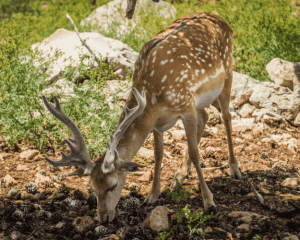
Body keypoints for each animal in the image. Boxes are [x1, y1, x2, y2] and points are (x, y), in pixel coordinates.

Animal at [42, 11, 241, 223]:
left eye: (113, 185)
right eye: (92, 187)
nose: (103, 217)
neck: (154, 96)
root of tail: (219, 18)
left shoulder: (186, 104)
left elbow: (196, 153)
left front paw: (209, 201)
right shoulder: (157, 121)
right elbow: (158, 154)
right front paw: (151, 196)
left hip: (227, 74)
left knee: (226, 116)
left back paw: (234, 169)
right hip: (201, 101)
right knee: (205, 115)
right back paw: (179, 176)